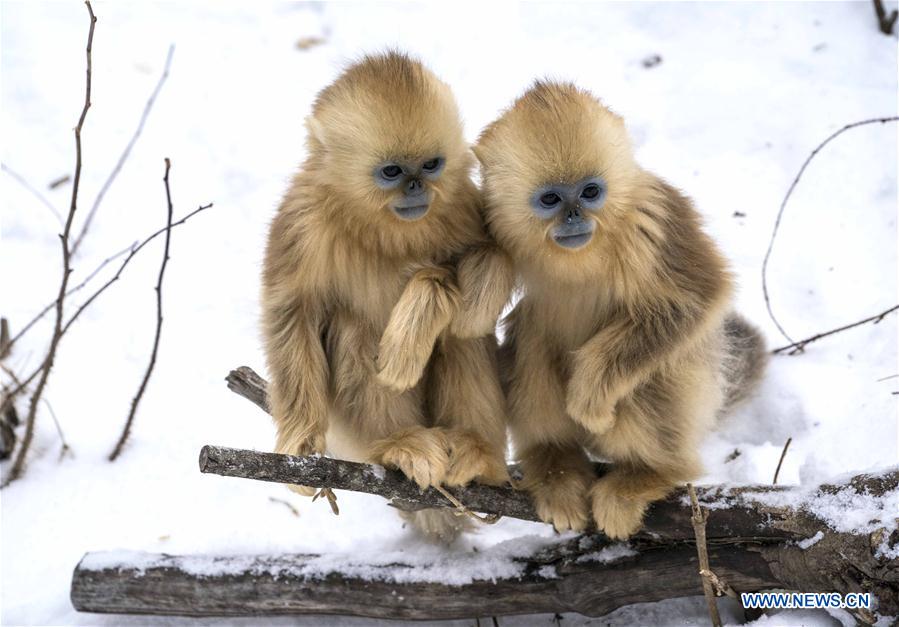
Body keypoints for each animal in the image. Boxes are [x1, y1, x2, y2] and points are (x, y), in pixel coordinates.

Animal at [261, 52, 512, 542]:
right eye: (393, 171)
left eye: (430, 165)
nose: (417, 188)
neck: (385, 229)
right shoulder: (303, 221)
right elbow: (291, 312)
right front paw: (300, 441)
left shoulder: (461, 201)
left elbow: (495, 258)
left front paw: (428, 302)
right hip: (352, 430)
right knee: (354, 327)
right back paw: (400, 443)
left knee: (462, 335)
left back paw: (475, 451)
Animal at [475, 81, 767, 539]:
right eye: (551, 199)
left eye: (590, 192)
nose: (574, 216)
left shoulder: (652, 214)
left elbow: (695, 298)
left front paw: (589, 396)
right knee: (533, 344)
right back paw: (556, 469)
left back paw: (648, 475)